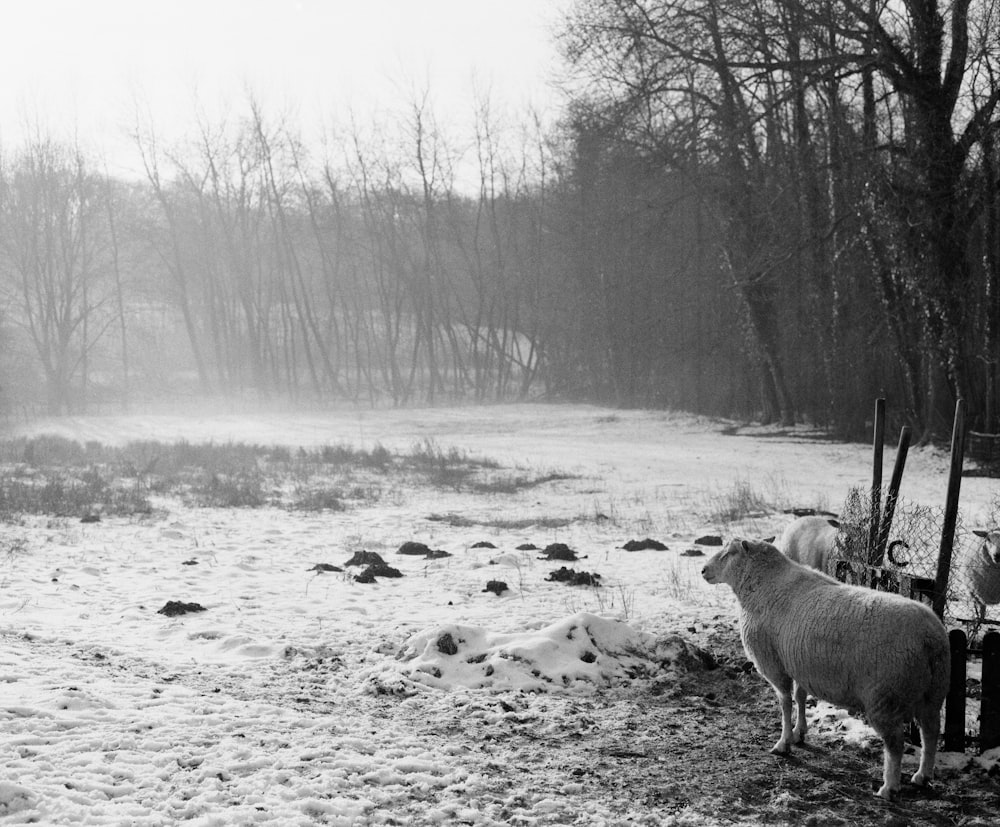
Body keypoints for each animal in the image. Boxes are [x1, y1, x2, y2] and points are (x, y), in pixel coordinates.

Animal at [700, 536, 948, 804]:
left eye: (730, 553)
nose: (702, 570)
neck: (762, 582)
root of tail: (929, 639)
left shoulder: (775, 665)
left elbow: (785, 703)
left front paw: (783, 743)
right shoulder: (799, 663)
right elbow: (800, 697)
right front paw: (799, 733)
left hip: (885, 697)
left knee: (896, 744)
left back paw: (889, 787)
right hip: (933, 694)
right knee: (930, 733)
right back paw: (923, 775)